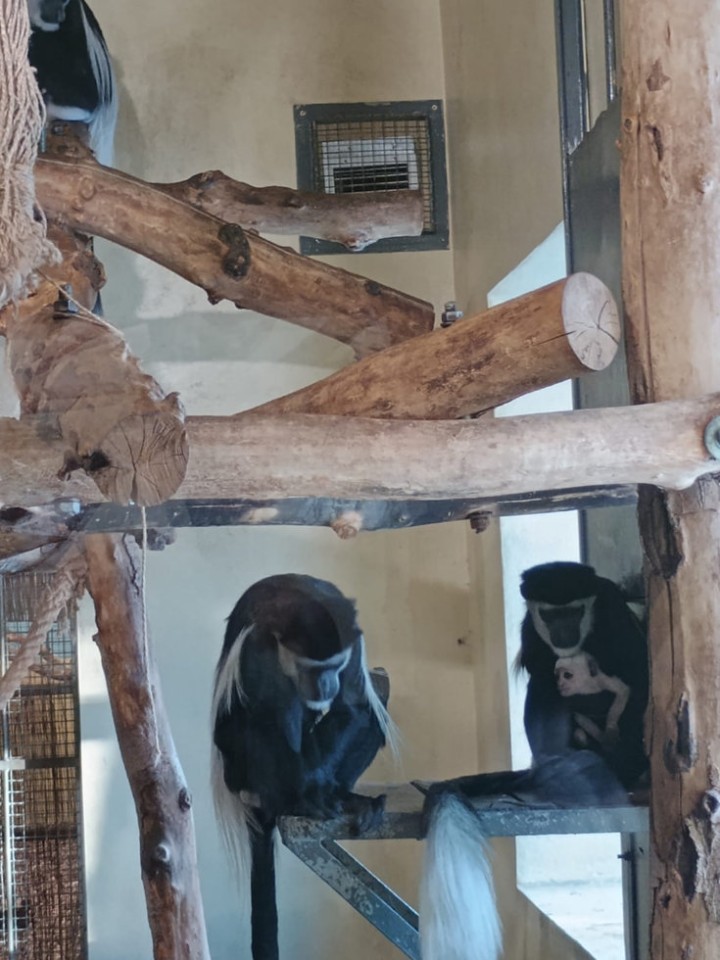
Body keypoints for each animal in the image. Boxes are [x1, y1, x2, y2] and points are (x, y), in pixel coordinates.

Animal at [211, 573, 394, 960]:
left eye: (335, 667)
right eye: (314, 669)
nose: (328, 684)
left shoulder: (352, 649)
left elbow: (354, 707)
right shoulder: (255, 650)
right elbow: (262, 722)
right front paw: (309, 797)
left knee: (371, 711)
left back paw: (349, 799)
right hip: (240, 771)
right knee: (254, 724)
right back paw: (294, 801)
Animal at [416, 561, 648, 960]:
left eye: (574, 612)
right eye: (550, 615)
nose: (563, 631)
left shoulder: (612, 614)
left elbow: (634, 671)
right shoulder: (533, 631)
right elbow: (543, 678)